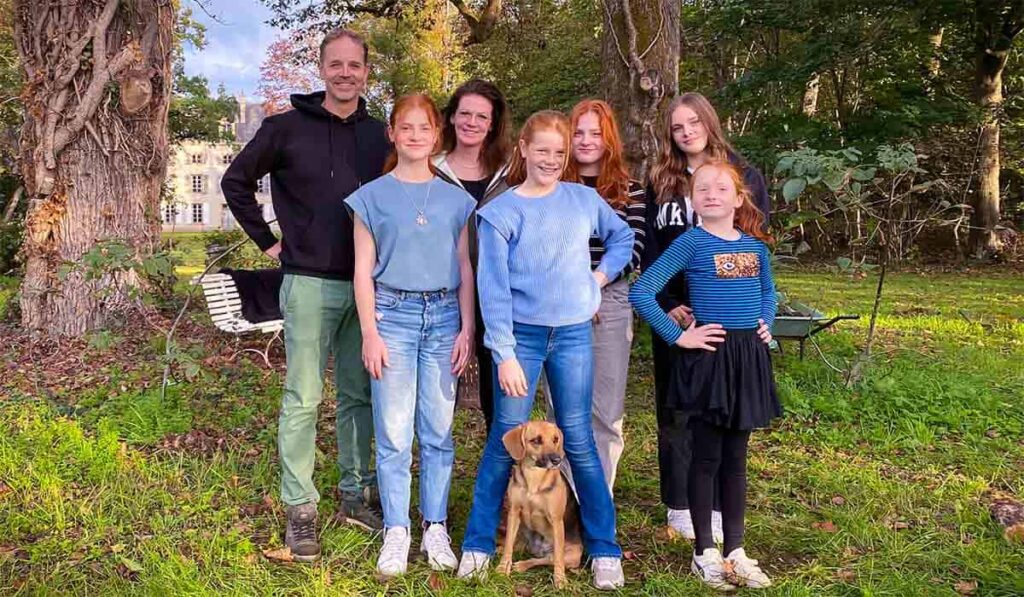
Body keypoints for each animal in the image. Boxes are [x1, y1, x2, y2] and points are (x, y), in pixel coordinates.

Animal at [497, 419, 585, 589]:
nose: (557, 460)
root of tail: (538, 549)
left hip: (572, 555)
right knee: (516, 545)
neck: (534, 478)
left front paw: (560, 580)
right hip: (521, 531)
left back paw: (522, 565)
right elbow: (508, 546)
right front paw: (503, 568)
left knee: (546, 559)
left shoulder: (556, 520)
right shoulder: (514, 512)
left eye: (555, 439)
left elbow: (558, 559)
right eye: (536, 440)